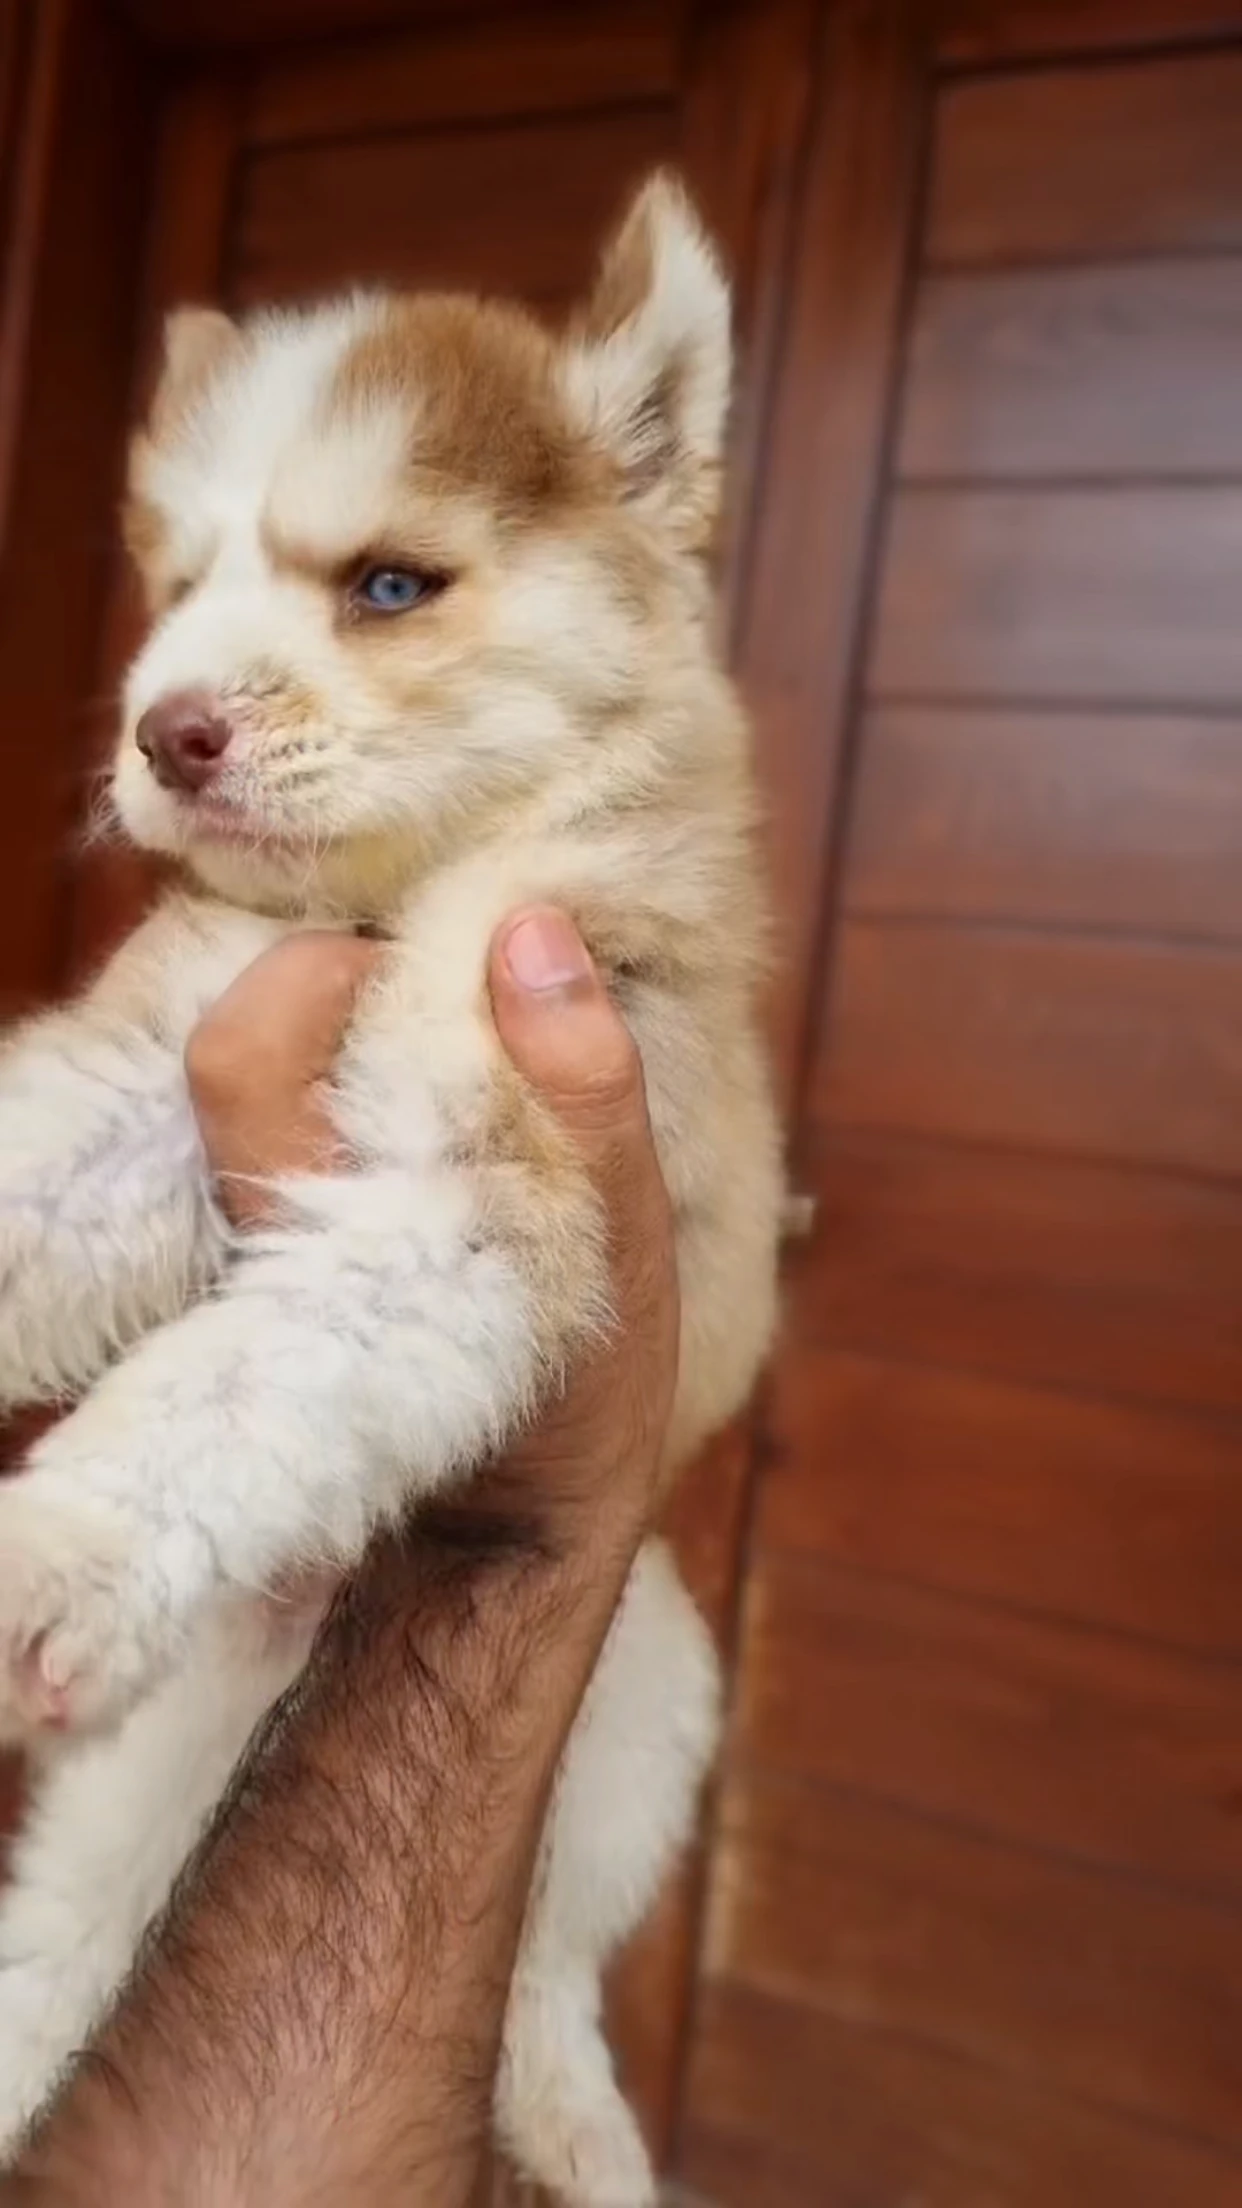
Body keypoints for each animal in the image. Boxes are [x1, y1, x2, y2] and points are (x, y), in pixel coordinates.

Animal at [0, 176, 777, 2208]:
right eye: (178, 584)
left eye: (390, 586)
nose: (167, 728)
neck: (384, 903)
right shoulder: (150, 1098)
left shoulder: (477, 1189)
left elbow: (227, 1386)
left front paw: (57, 1546)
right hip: (122, 1814)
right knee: (60, 1945)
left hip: (648, 1702)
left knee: (546, 1964)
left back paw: (579, 2122)